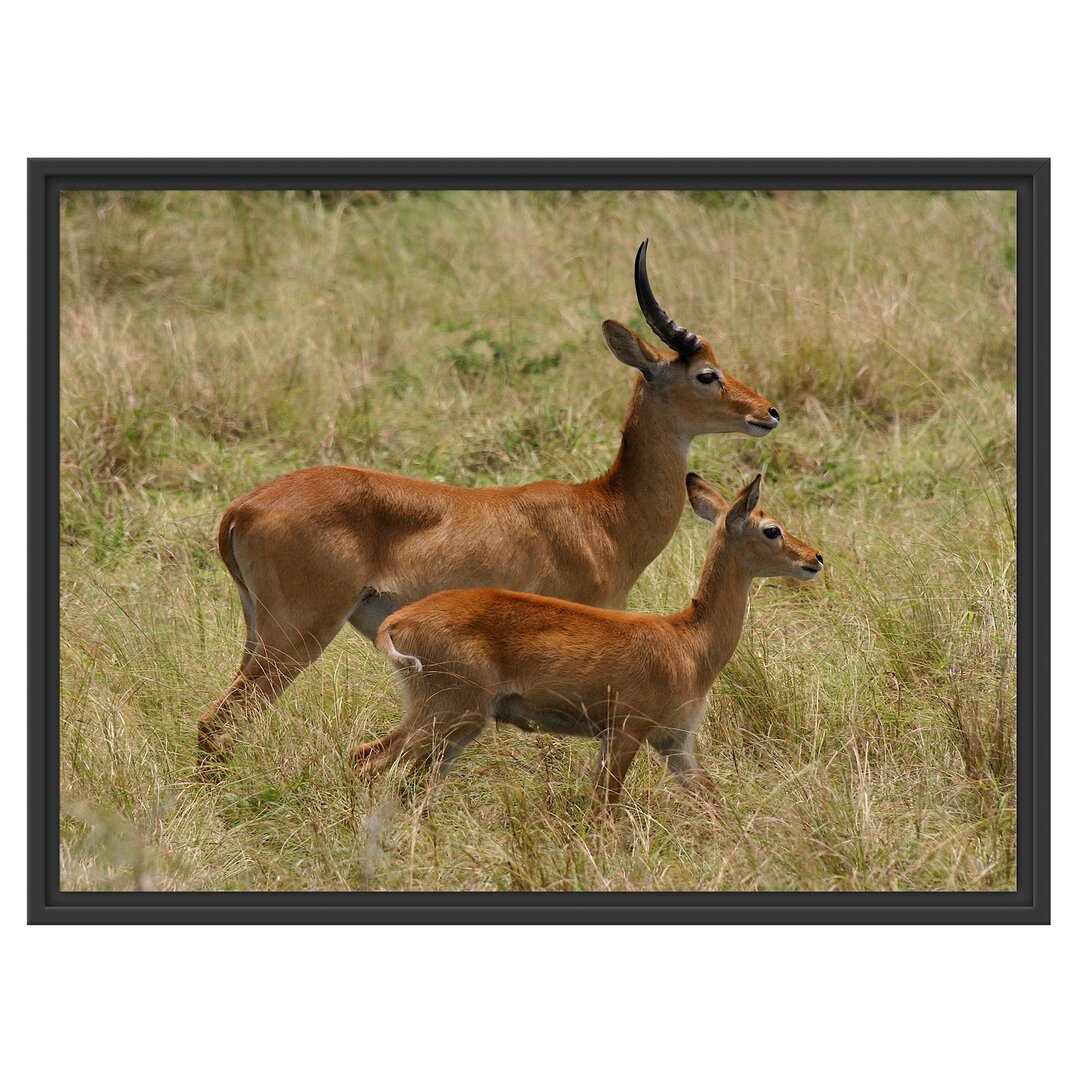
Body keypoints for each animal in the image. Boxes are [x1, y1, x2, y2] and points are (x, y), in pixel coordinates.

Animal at [198, 240, 781, 764]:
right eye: (706, 374)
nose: (768, 412)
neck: (603, 514)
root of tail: (242, 508)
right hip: (298, 634)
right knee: (218, 719)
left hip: (260, 632)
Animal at [358, 473, 820, 803]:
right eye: (772, 529)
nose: (814, 558)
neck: (689, 641)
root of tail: (397, 623)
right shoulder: (627, 733)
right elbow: (605, 805)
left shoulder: (675, 743)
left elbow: (712, 800)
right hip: (448, 713)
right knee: (367, 758)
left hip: (458, 726)